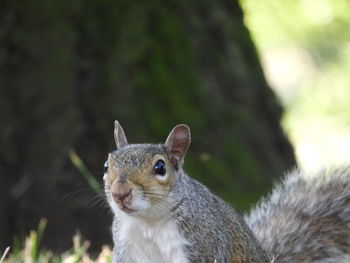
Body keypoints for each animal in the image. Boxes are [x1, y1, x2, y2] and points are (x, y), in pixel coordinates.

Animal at [104, 121, 350, 262]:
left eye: (160, 168)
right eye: (107, 165)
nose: (120, 193)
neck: (148, 223)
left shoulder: (202, 245)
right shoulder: (126, 250)